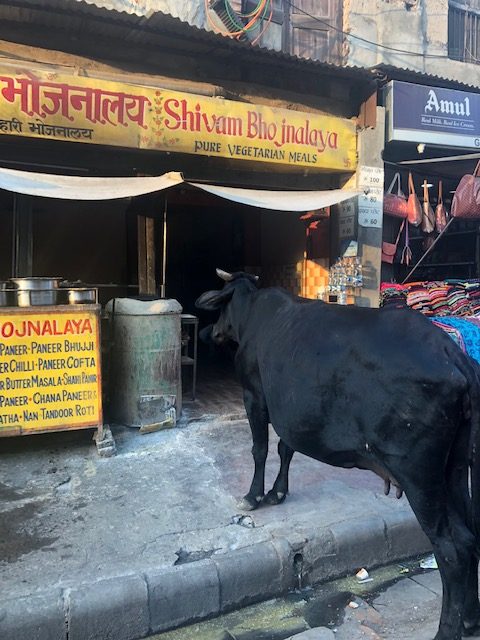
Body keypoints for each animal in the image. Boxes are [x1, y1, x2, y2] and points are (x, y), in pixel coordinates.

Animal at [195, 268, 480, 640]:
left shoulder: (254, 395)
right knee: (471, 537)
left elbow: (260, 448)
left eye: (221, 306)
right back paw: (471, 619)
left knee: (452, 550)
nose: (209, 332)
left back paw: (447, 630)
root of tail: (452, 355)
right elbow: (286, 448)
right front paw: (278, 492)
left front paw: (253, 495)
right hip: (455, 468)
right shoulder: (294, 414)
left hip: (419, 473)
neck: (253, 314)